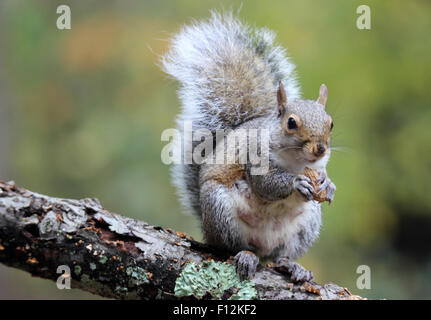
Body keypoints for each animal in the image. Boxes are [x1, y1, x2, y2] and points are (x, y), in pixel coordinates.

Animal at [162, 12, 338, 282]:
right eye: (291, 122)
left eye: (331, 123)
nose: (320, 149)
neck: (296, 162)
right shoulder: (255, 156)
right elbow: (266, 183)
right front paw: (297, 182)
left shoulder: (319, 167)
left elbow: (323, 176)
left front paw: (328, 185)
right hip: (220, 211)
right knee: (231, 247)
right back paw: (246, 256)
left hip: (305, 226)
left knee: (280, 255)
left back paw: (291, 265)